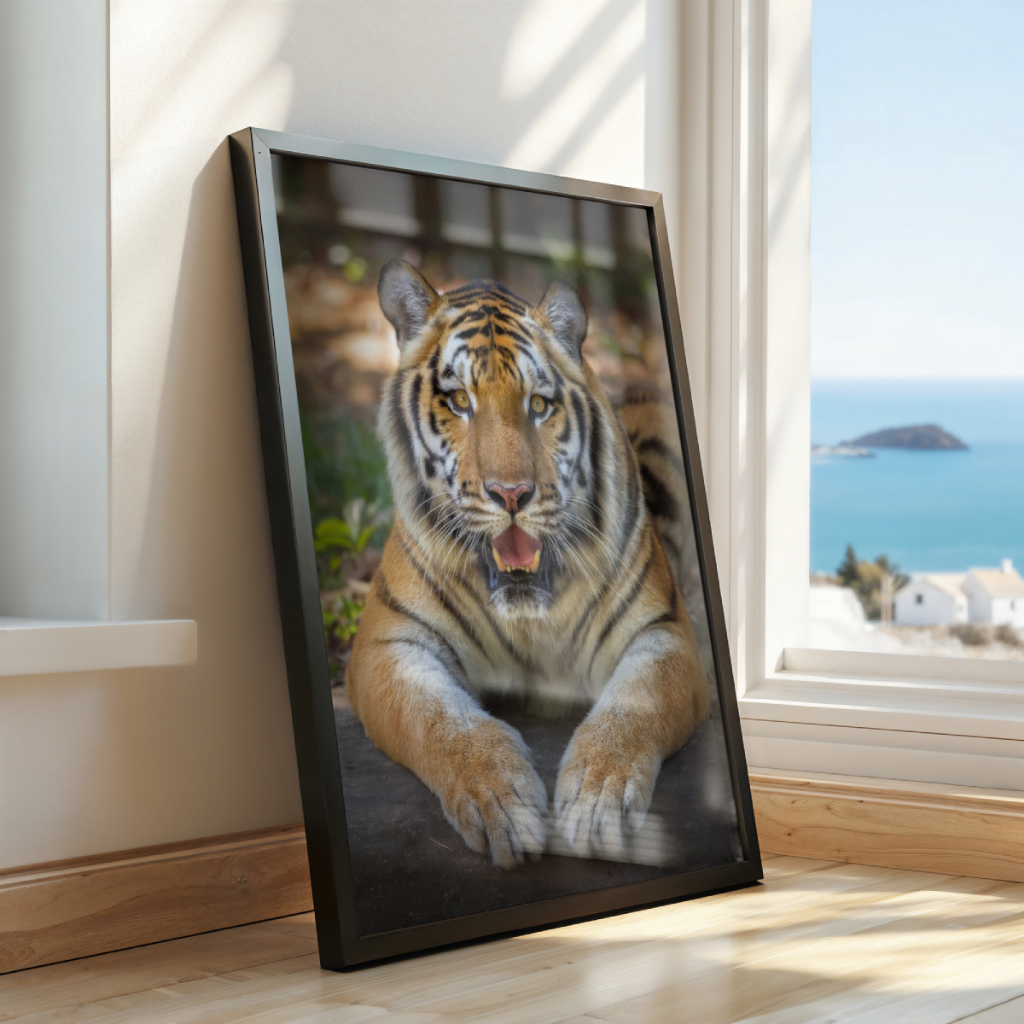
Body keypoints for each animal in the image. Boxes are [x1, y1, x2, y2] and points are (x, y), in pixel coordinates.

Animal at [346, 260, 709, 869]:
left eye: (538, 406)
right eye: (459, 401)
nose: (512, 494)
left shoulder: (663, 632)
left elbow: (631, 708)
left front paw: (597, 801)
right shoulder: (388, 644)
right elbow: (440, 719)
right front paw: (503, 800)